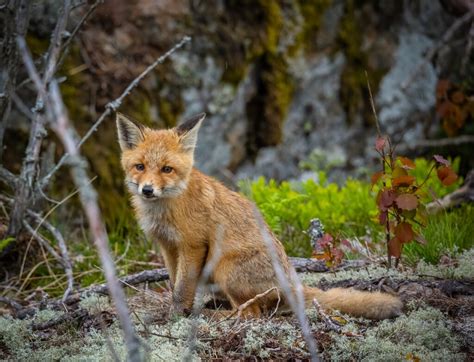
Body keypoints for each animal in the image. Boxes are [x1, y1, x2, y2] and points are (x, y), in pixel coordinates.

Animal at [116, 112, 402, 320]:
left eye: (167, 169)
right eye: (140, 167)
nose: (148, 190)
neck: (166, 209)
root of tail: (291, 282)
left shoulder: (192, 245)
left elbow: (182, 288)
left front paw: (176, 315)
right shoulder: (168, 247)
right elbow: (175, 282)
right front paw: (176, 312)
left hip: (224, 268)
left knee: (251, 314)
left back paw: (217, 317)